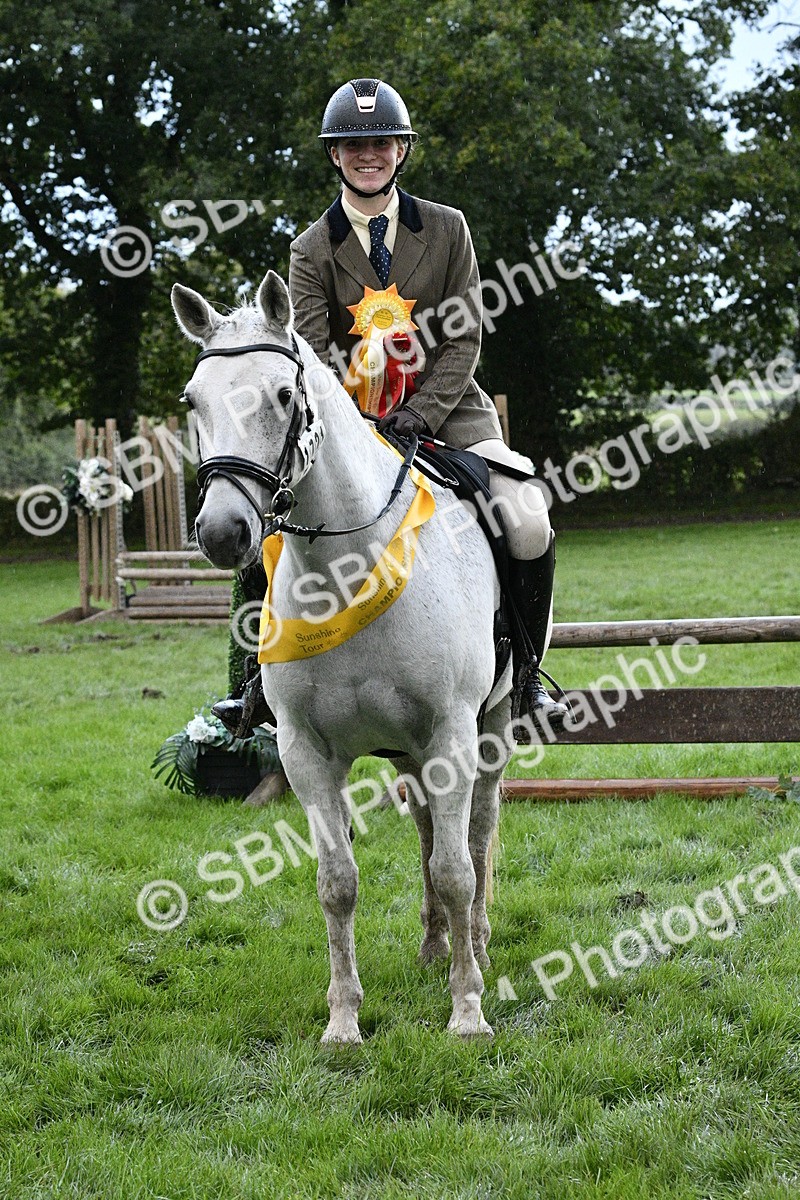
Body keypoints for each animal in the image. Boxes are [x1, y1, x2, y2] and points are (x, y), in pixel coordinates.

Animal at [171, 270, 515, 1043]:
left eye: (283, 395)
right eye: (193, 402)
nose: (223, 532)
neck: (348, 568)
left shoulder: (453, 732)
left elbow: (457, 869)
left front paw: (467, 1011)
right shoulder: (305, 751)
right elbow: (338, 882)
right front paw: (343, 1020)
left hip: (492, 724)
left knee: (477, 833)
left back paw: (474, 944)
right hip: (411, 752)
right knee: (426, 828)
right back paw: (433, 944)